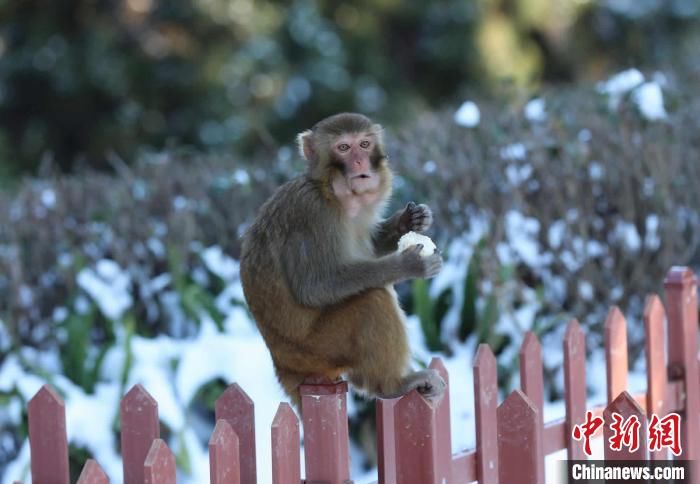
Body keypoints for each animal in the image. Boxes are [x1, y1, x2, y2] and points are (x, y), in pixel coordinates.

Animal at [239, 111, 442, 406]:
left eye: (364, 144)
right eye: (343, 148)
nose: (359, 161)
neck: (332, 191)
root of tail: (284, 366)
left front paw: (409, 220)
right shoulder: (312, 214)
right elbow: (314, 287)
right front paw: (407, 265)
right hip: (320, 350)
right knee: (373, 300)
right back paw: (391, 385)